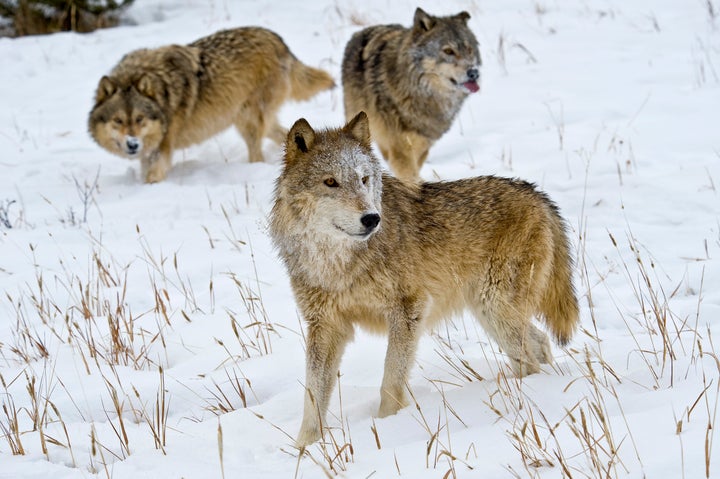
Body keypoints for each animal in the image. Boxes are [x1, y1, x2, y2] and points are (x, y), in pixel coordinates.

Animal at [88, 27, 335, 183]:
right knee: (282, 135)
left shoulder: (162, 150)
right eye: (118, 120)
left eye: (139, 119)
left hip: (248, 122)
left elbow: (152, 177)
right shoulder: (149, 152)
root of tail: (277, 40)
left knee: (257, 152)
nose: (133, 144)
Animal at [270, 112, 580, 447]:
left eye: (364, 179)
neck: (339, 264)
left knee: (530, 357)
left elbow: (390, 382)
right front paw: (306, 449)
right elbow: (312, 397)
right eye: (330, 182)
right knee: (540, 342)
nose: (372, 219)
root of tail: (536, 193)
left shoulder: (409, 309)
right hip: (491, 314)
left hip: (496, 310)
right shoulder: (325, 326)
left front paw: (388, 428)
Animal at [341, 8, 481, 181]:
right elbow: (408, 174)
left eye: (469, 49)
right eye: (448, 51)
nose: (474, 72)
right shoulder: (400, 148)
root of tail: (363, 31)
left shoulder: (423, 144)